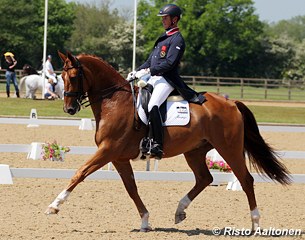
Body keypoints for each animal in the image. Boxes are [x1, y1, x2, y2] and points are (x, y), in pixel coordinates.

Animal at [45, 51, 290, 232]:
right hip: (194, 151)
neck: (114, 101)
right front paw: (145, 220)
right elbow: (131, 188)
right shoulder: (118, 158)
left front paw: (54, 206)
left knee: (246, 180)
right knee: (205, 178)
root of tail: (231, 103)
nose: (69, 109)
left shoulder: (107, 151)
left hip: (228, 148)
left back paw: (255, 224)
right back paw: (180, 211)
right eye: (60, 78)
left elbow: (80, 173)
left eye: (73, 77)